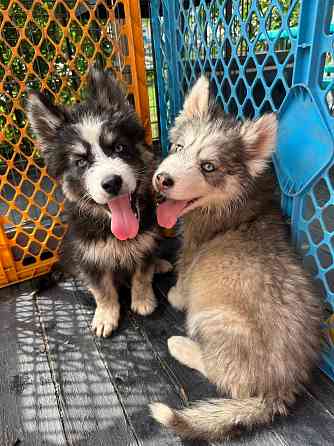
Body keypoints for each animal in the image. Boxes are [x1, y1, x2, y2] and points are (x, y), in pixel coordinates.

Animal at [27, 69, 171, 334]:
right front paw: (106, 316)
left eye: (120, 148)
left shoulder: (145, 245)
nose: (112, 183)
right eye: (81, 162)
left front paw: (143, 300)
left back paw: (160, 264)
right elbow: (102, 290)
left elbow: (142, 275)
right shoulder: (89, 259)